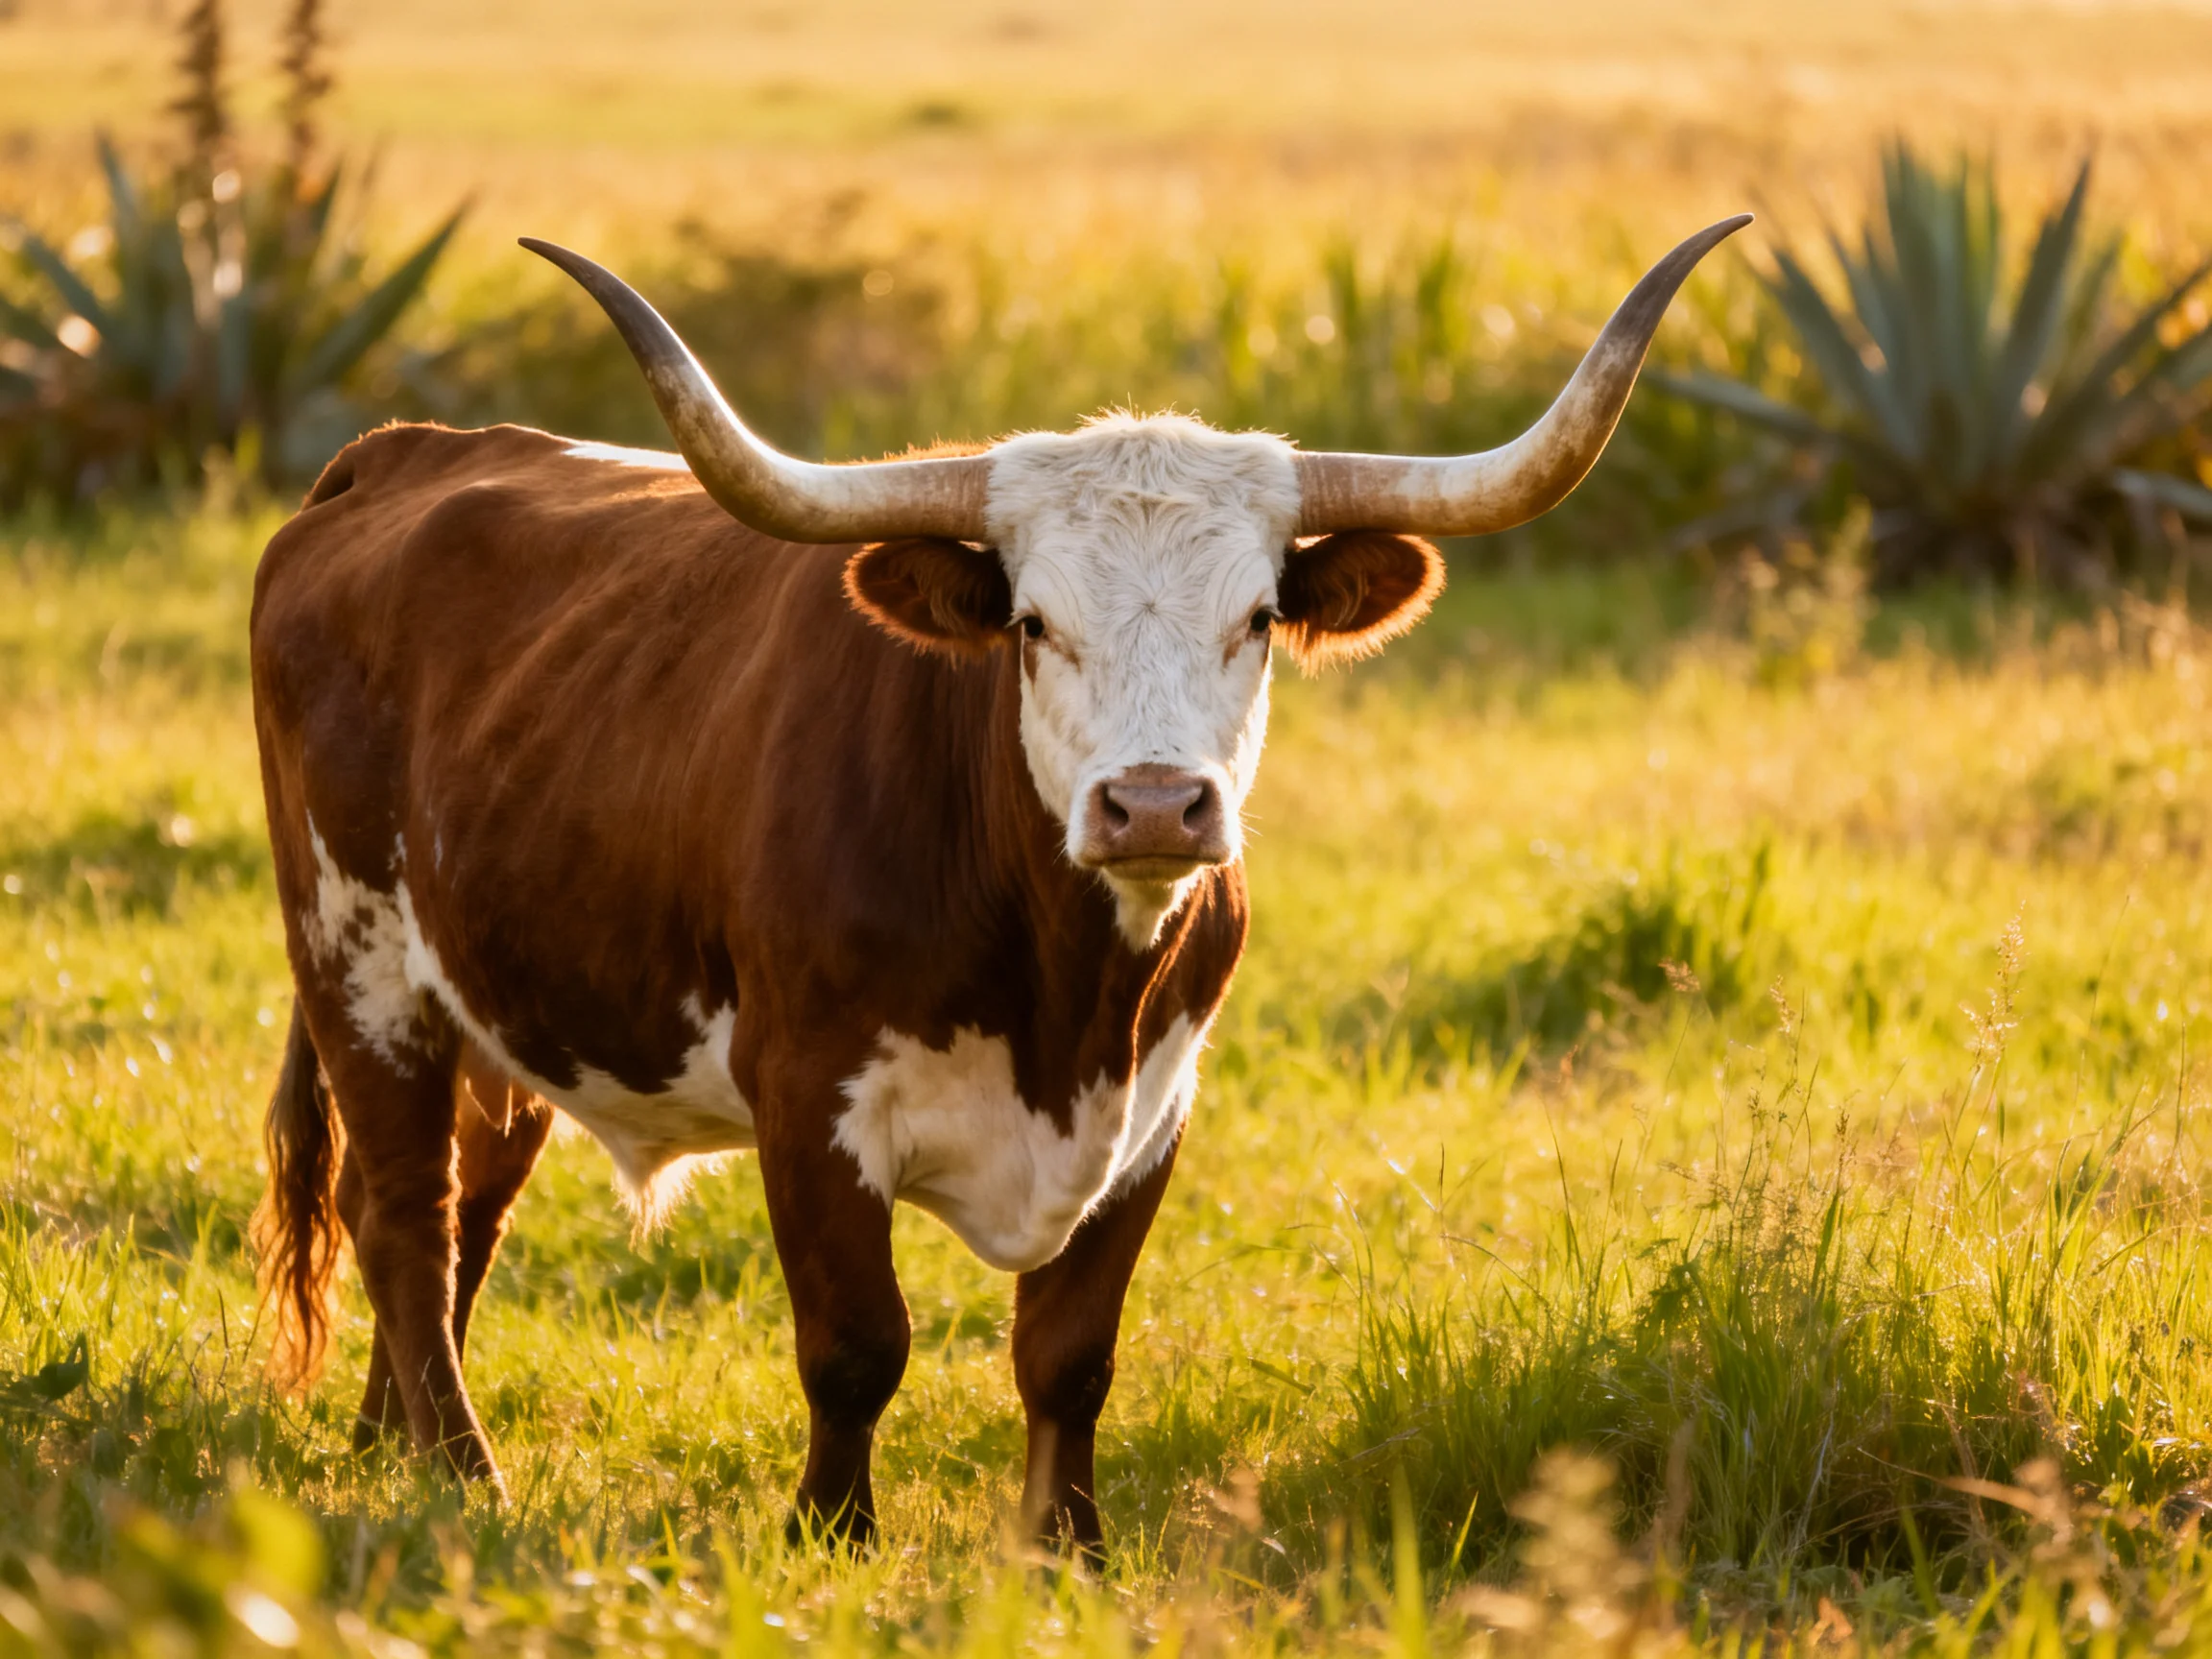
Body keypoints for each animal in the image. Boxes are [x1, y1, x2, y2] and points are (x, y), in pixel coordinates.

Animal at [249, 213, 1747, 1552]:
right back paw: (466, 1476)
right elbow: (858, 1344)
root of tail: (400, 455)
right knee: (403, 1214)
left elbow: (1070, 1355)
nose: (1156, 803)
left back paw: (395, 1447)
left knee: (464, 1210)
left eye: (1258, 617)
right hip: (356, 961)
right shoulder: (810, 1101)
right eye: (1034, 623)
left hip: (497, 1002)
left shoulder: (1156, 1109)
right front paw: (832, 1539)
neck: (1064, 999)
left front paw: (1066, 1549)